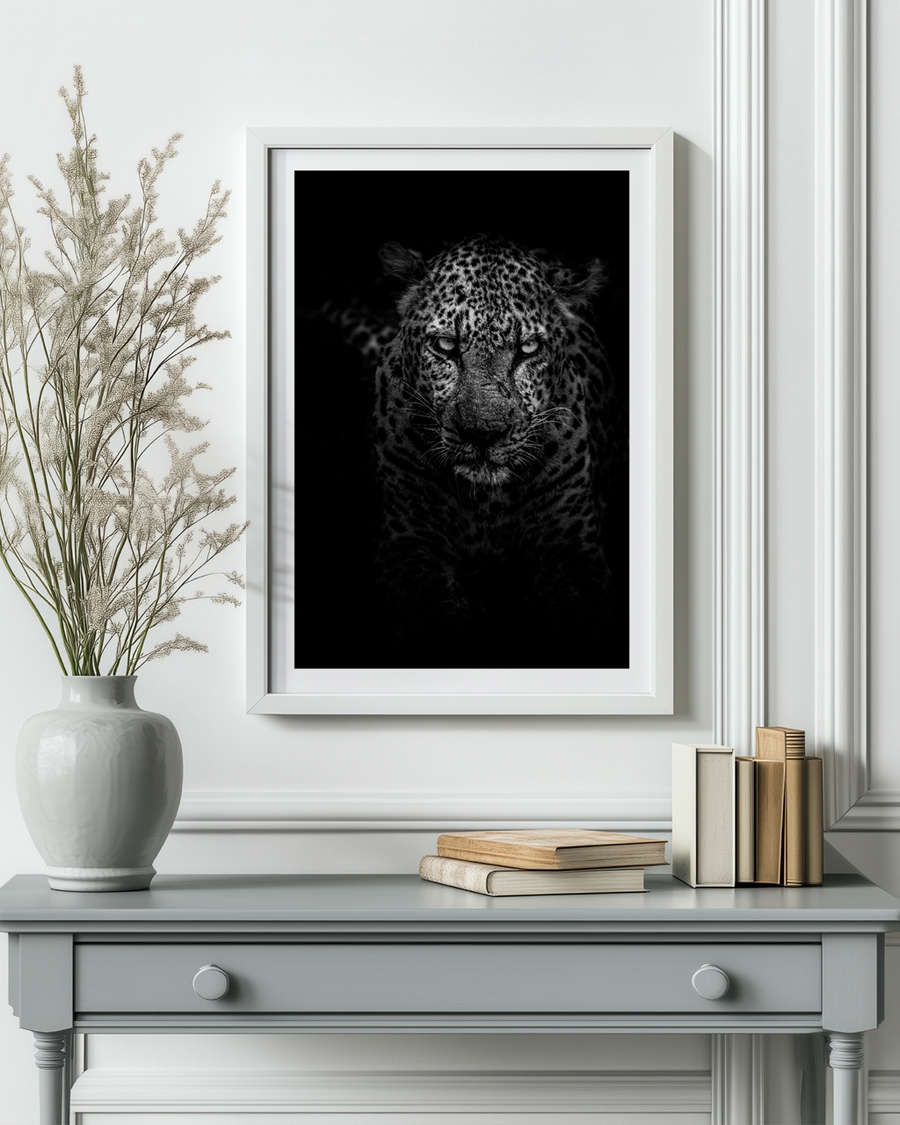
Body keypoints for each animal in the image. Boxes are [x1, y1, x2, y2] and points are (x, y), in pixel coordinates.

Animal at [368, 234, 624, 666]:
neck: (486, 502)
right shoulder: (408, 546)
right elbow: (439, 617)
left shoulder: (575, 554)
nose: (483, 433)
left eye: (529, 348)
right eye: (445, 346)